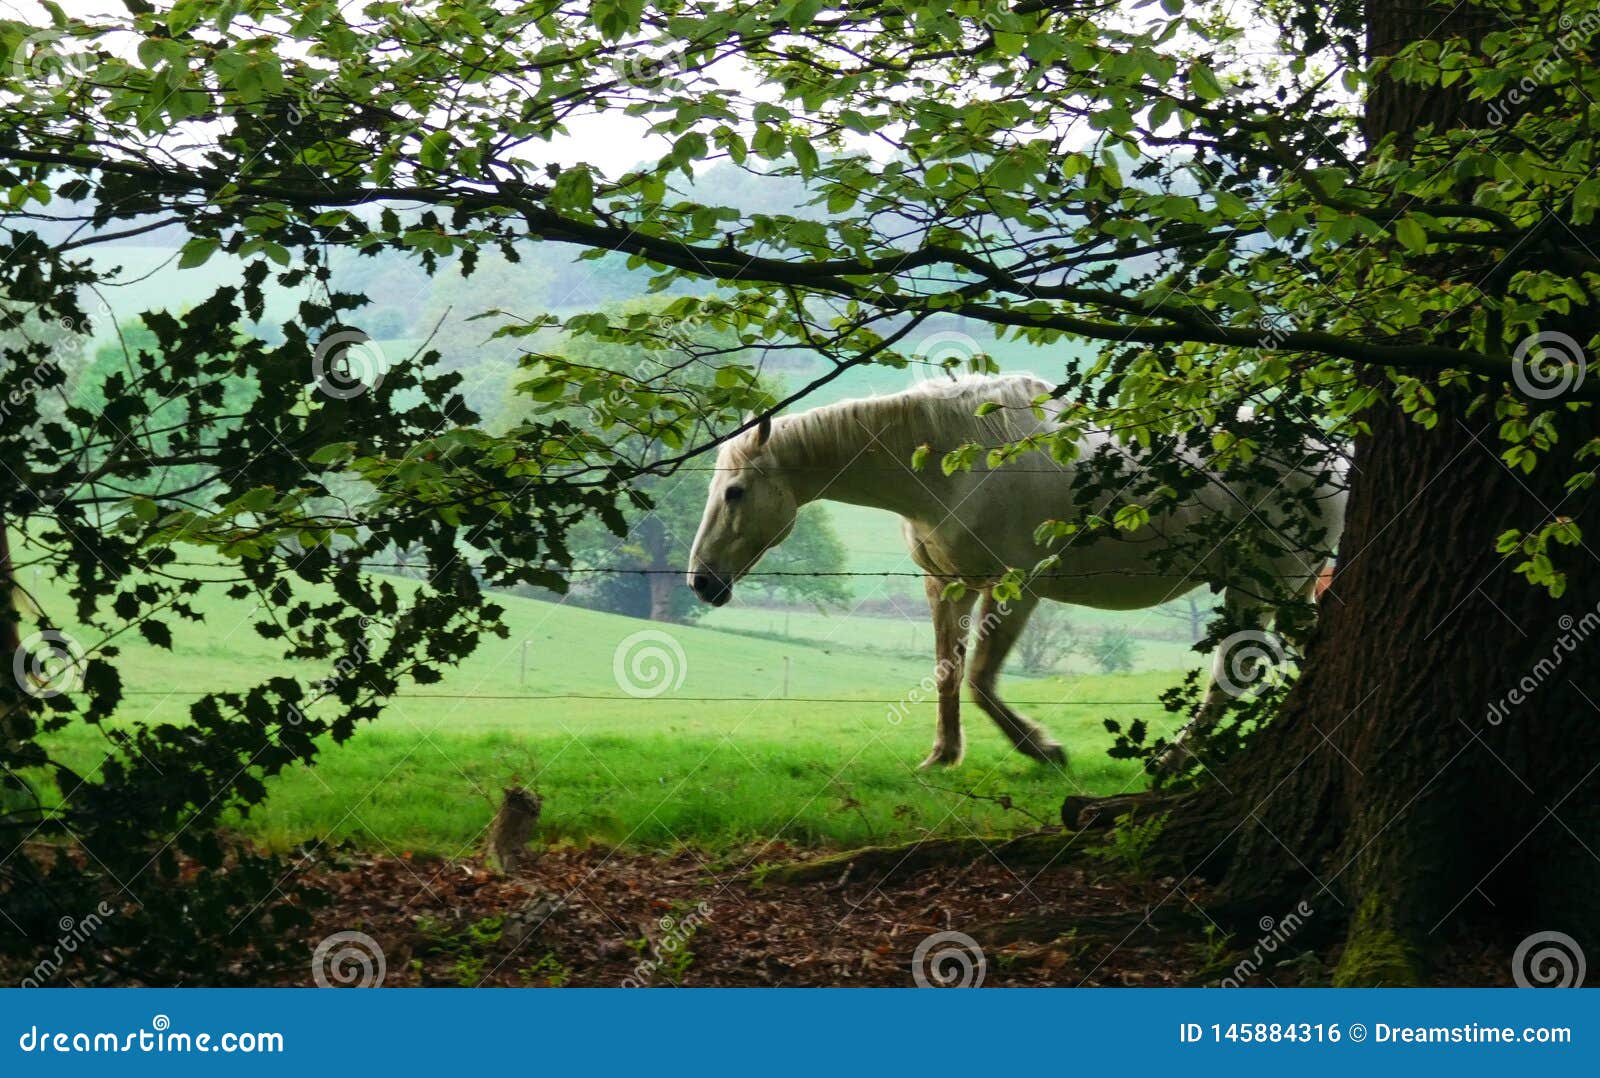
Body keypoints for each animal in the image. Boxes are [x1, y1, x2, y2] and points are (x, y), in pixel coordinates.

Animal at [686, 375, 1346, 770]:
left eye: (736, 492)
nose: (701, 581)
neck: (951, 460)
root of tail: (1329, 456)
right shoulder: (946, 586)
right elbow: (948, 675)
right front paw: (942, 757)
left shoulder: (1014, 589)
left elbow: (980, 679)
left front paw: (1043, 748)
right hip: (1271, 590)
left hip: (1268, 585)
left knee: (1242, 672)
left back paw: (1178, 760)